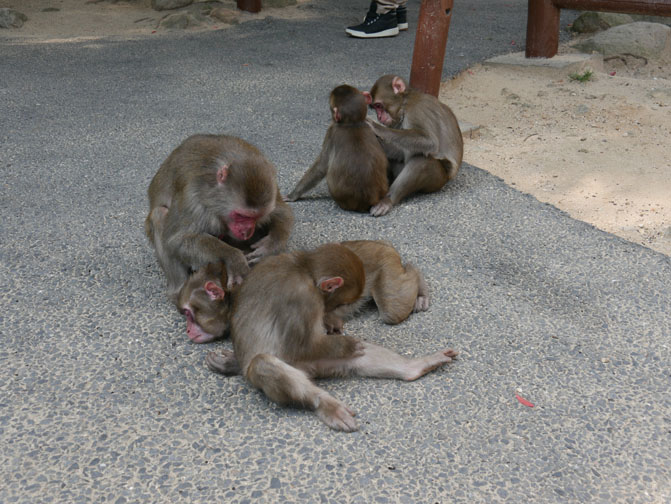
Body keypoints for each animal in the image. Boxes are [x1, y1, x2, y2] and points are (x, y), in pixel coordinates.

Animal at [145, 134, 294, 301]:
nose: (247, 231)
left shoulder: (272, 188)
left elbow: (283, 212)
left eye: (256, 217)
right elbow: (177, 240)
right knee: (158, 214)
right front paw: (233, 258)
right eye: (241, 216)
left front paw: (269, 247)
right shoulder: (193, 196)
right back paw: (180, 289)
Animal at [205, 243, 458, 432]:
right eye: (341, 302)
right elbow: (300, 345)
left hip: (321, 364)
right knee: (263, 364)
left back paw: (415, 367)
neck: (303, 268)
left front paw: (335, 329)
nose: (331, 313)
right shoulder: (301, 297)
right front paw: (345, 341)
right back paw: (326, 404)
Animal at [285, 85, 389, 214]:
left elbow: (320, 166)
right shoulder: (369, 124)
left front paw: (292, 195)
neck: (353, 123)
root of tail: (369, 201)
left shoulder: (331, 131)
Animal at [363, 75, 464, 216]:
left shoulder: (416, 110)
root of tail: (448, 178)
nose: (379, 116)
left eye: (379, 106)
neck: (405, 103)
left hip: (437, 181)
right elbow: (400, 150)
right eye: (375, 108)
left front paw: (376, 127)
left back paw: (388, 200)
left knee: (422, 162)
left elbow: (430, 142)